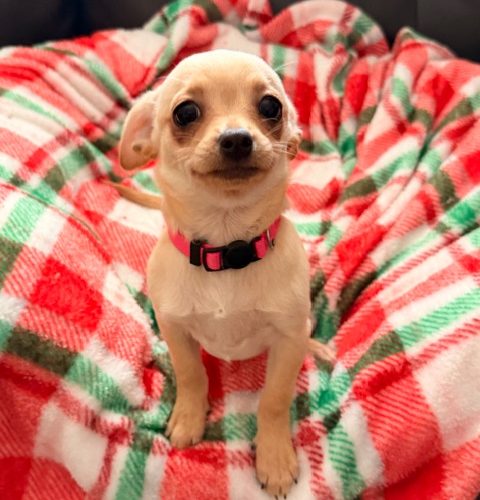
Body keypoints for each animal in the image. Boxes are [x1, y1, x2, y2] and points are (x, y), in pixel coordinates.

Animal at [118, 49, 334, 497]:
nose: (236, 138)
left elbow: (274, 400)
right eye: (185, 112)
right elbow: (191, 373)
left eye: (271, 107)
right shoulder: (176, 329)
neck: (227, 248)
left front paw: (274, 456)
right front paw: (189, 417)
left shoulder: (287, 341)